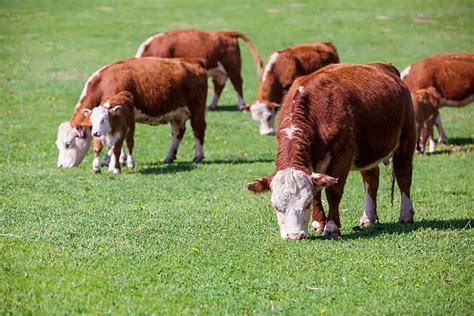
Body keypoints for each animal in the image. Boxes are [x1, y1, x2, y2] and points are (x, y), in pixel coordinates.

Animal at [56, 58, 207, 169]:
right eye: (58, 144)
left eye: (68, 144)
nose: (60, 165)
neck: (103, 84)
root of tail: (194, 63)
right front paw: (120, 160)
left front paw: (110, 161)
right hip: (176, 113)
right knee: (177, 132)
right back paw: (169, 157)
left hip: (197, 109)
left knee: (198, 130)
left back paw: (198, 157)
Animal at [135, 28, 264, 110]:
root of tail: (226, 33)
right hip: (219, 71)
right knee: (219, 86)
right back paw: (212, 105)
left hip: (233, 67)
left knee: (237, 83)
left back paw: (241, 105)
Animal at [246, 63, 416, 239]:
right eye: (276, 207)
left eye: (306, 204)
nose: (295, 235)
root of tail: (386, 67)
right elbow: (316, 192)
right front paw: (318, 224)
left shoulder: (342, 155)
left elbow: (333, 191)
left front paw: (332, 226)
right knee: (371, 178)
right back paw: (368, 218)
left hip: (407, 138)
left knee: (403, 175)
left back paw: (405, 215)